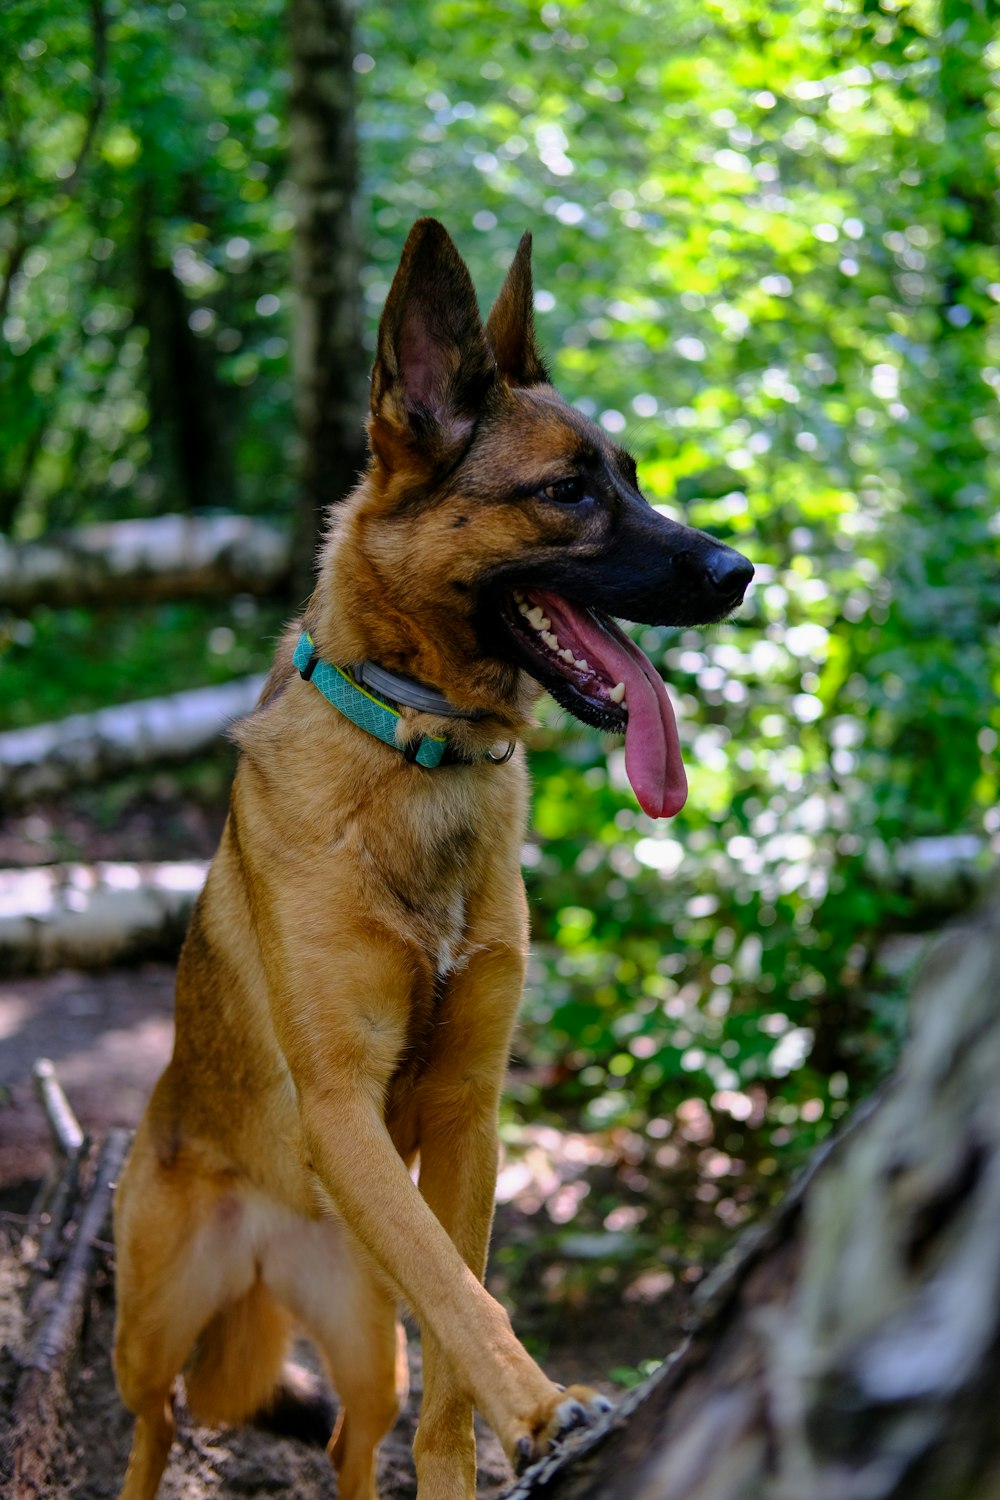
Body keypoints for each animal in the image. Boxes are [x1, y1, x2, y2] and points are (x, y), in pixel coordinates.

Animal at [113, 219, 755, 1500]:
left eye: (634, 476)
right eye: (567, 491)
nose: (736, 572)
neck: (420, 751)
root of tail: (268, 1251)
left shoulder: (466, 1119)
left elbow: (453, 1335)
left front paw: (502, 1436)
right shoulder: (343, 1108)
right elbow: (460, 1291)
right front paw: (546, 1407)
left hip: (367, 1350)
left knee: (359, 1443)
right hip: (147, 1338)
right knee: (149, 1438)